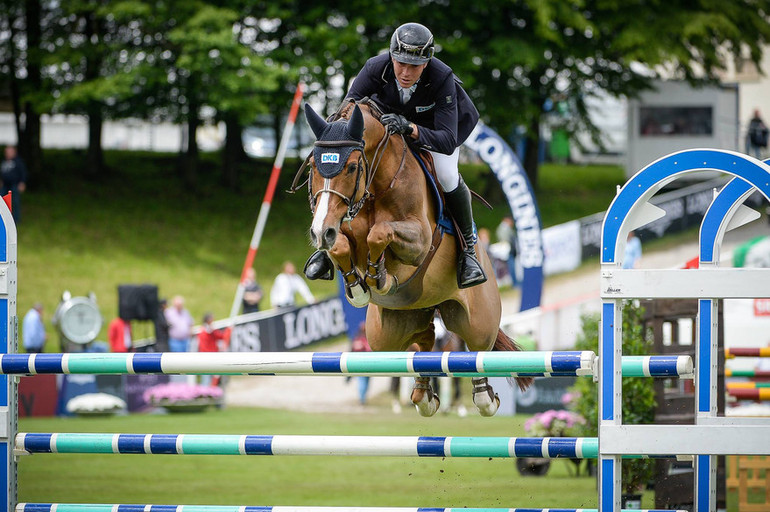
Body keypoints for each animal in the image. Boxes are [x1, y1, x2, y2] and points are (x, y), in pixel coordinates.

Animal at [294, 100, 528, 416]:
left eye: (352, 167)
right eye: (312, 167)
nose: (320, 232)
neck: (377, 184)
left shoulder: (419, 241)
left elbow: (379, 233)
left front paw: (377, 277)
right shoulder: (340, 229)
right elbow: (342, 245)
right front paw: (358, 286)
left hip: (477, 318)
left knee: (475, 348)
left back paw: (484, 396)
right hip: (387, 334)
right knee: (425, 339)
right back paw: (424, 394)